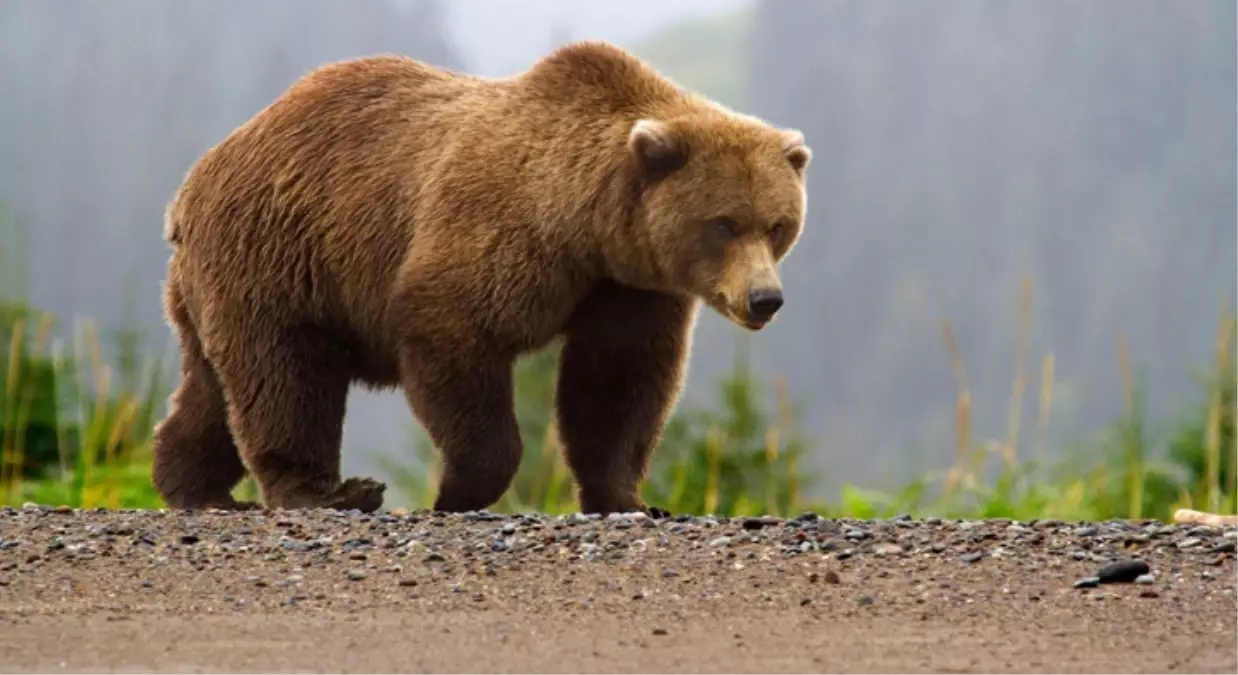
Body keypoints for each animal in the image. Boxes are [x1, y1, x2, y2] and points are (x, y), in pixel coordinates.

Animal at [149, 40, 812, 515]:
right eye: (724, 223)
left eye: (778, 225)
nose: (765, 298)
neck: (586, 224)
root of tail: (192, 184)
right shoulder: (499, 233)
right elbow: (454, 332)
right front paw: (457, 491)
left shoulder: (627, 287)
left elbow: (618, 383)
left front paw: (629, 498)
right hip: (281, 254)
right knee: (286, 377)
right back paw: (328, 492)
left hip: (222, 283)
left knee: (213, 386)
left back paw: (192, 485)